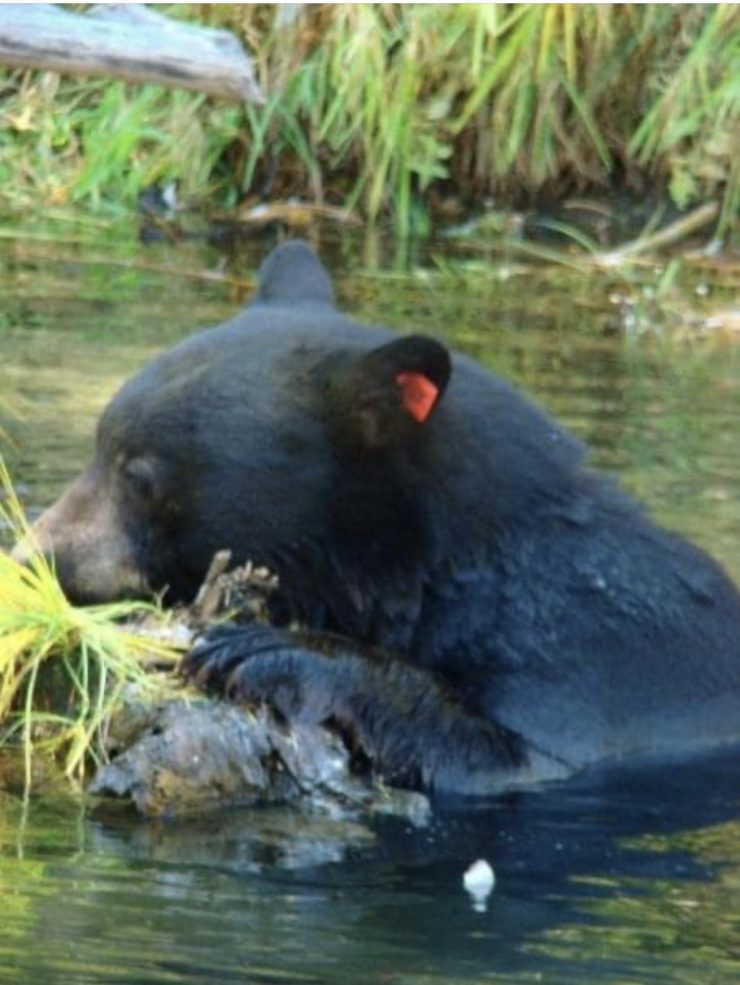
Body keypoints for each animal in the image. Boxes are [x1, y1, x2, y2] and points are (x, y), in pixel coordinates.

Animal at [14, 242, 740, 796]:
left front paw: (270, 650)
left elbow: (507, 755)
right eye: (99, 443)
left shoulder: (594, 675)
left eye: (139, 474)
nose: (35, 557)